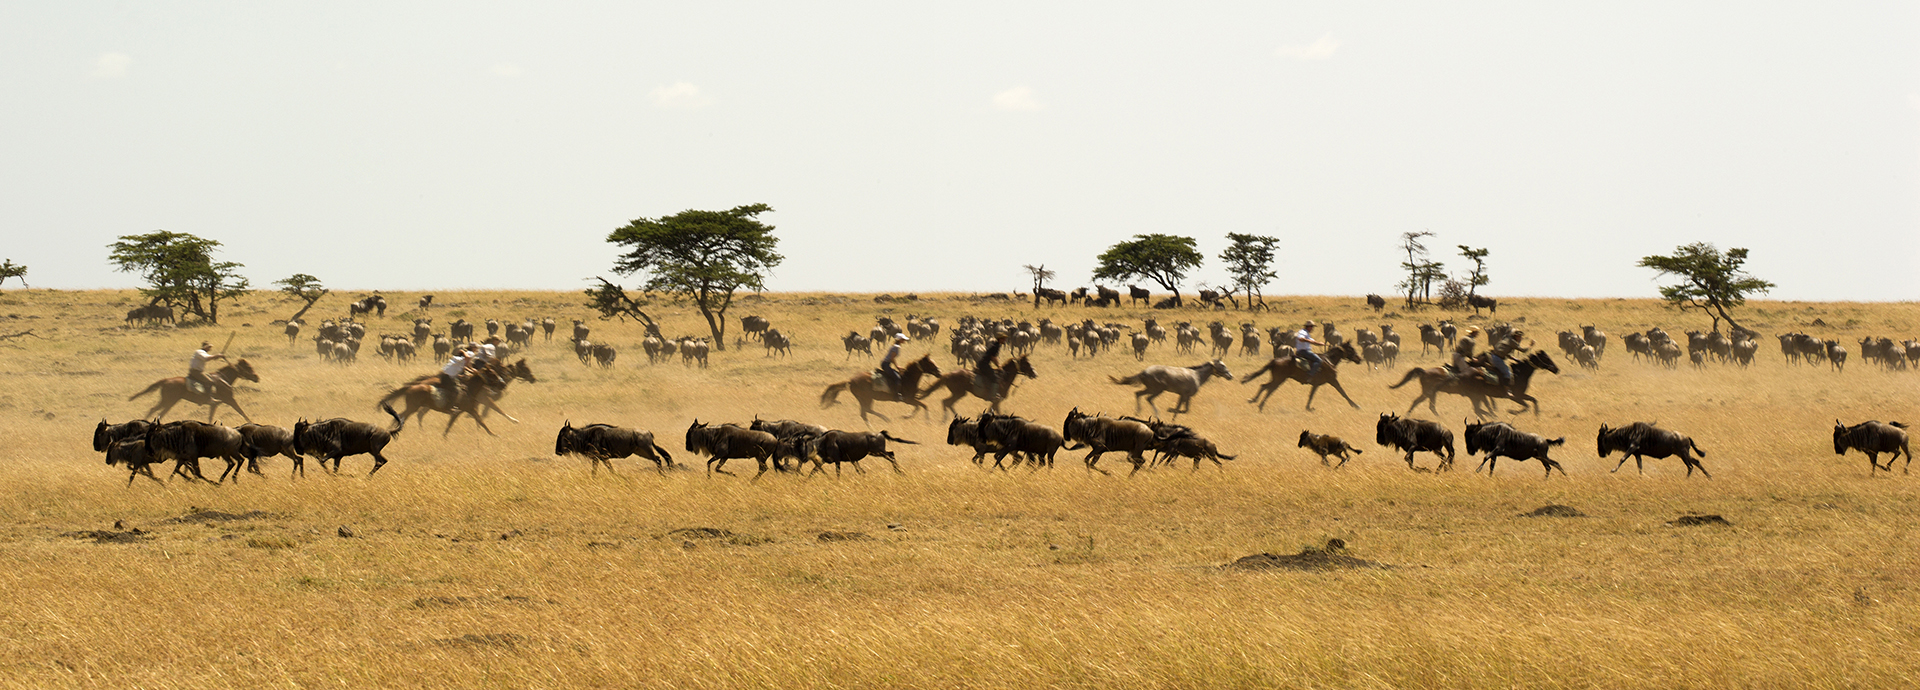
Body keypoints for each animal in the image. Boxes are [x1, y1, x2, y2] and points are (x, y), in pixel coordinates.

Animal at [128, 360, 259, 423]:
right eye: (248, 367)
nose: (256, 377)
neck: (223, 379)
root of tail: (166, 380)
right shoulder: (230, 400)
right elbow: (241, 412)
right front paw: (252, 422)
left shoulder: (215, 404)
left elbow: (210, 417)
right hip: (169, 401)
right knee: (155, 410)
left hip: (168, 401)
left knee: (157, 411)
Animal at [1389, 349, 1559, 418]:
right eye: (1546, 358)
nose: (1556, 369)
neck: (1518, 374)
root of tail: (1424, 371)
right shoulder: (1515, 396)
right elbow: (1525, 405)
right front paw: (1511, 412)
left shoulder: (1519, 395)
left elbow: (1533, 401)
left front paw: (1537, 415)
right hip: (1430, 392)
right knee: (1420, 403)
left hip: (1432, 393)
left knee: (1426, 404)